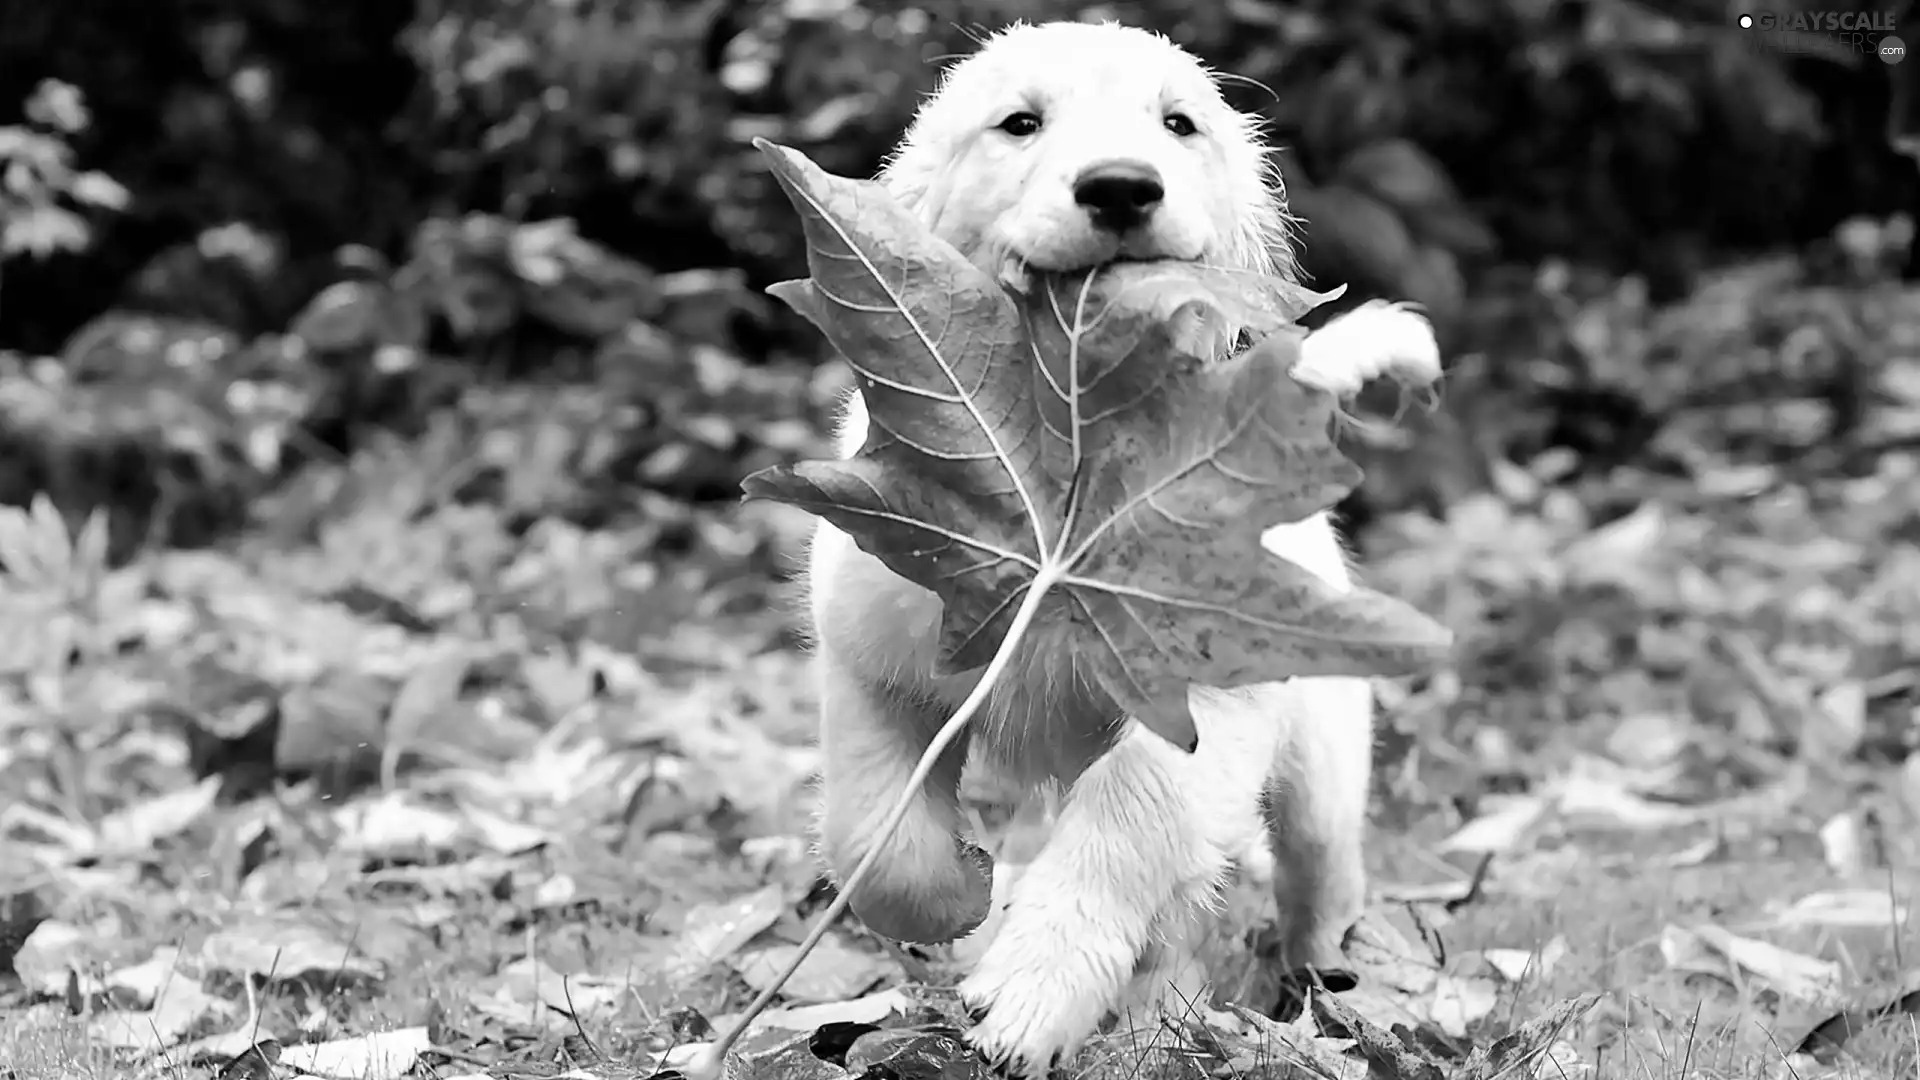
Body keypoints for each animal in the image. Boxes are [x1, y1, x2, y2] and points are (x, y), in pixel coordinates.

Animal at [798, 18, 1443, 1076]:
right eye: (1019, 122)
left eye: (1179, 124)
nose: (1121, 187)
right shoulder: (874, 656)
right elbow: (875, 836)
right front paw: (960, 899)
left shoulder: (1203, 698)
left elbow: (1131, 816)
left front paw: (1032, 987)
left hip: (1323, 748)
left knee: (1314, 875)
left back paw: (1322, 986)